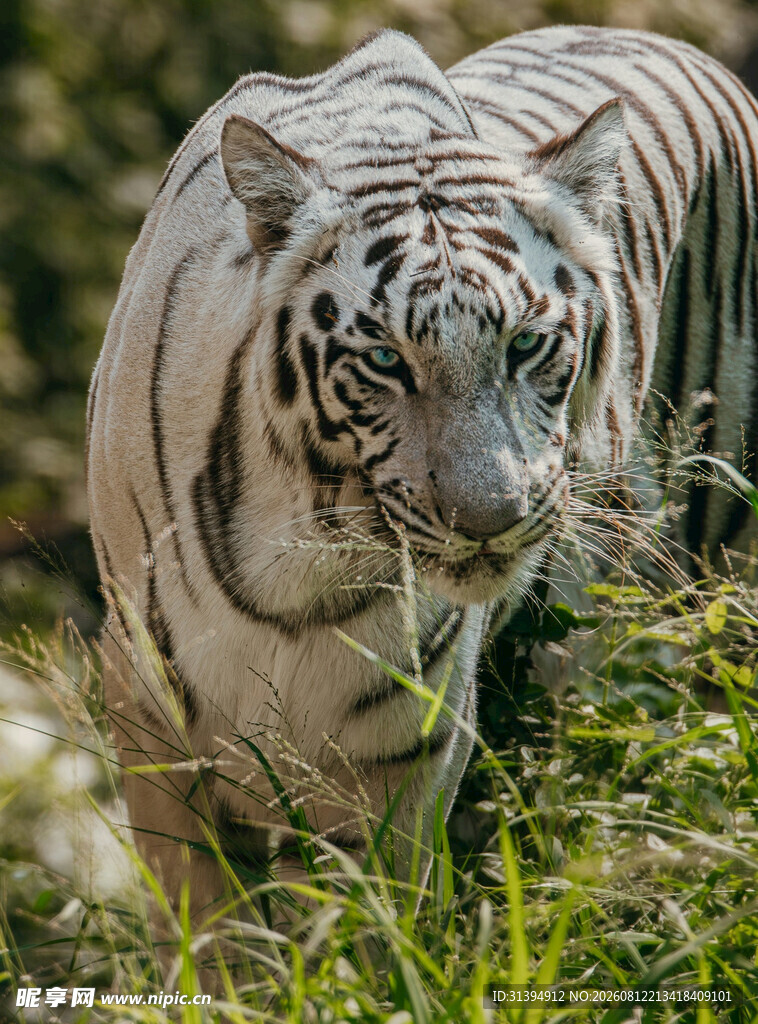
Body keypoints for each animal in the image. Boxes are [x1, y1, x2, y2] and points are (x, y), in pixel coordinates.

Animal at [87, 24, 758, 933]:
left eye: (526, 344)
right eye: (383, 360)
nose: (491, 519)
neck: (302, 565)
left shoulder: (398, 767)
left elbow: (379, 939)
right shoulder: (153, 731)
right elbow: (210, 936)